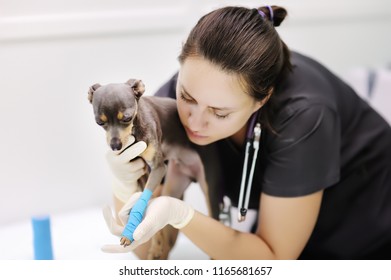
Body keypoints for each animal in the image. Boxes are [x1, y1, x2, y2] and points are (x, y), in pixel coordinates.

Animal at [89, 77, 211, 260]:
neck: (134, 132)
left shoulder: (158, 168)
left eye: (126, 118)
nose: (115, 146)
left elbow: (144, 201)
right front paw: (154, 245)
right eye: (100, 122)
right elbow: (146, 204)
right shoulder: (140, 173)